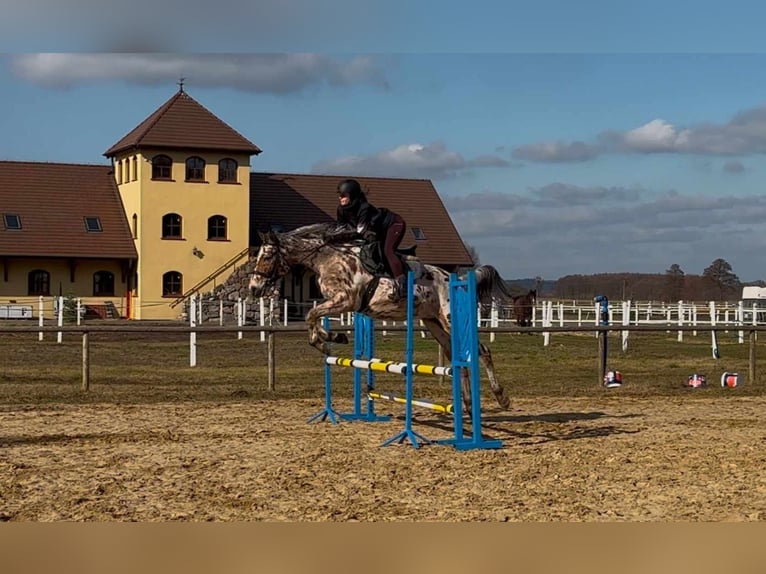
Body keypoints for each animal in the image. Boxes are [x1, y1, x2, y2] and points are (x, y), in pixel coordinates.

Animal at [252, 223, 516, 412]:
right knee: (458, 357)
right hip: (435, 325)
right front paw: (332, 338)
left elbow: (311, 314)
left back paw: (502, 398)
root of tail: (457, 280)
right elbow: (313, 318)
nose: (254, 289)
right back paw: (468, 406)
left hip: (452, 320)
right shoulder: (339, 303)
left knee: (482, 351)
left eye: (267, 256)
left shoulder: (345, 300)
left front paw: (328, 340)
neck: (328, 259)